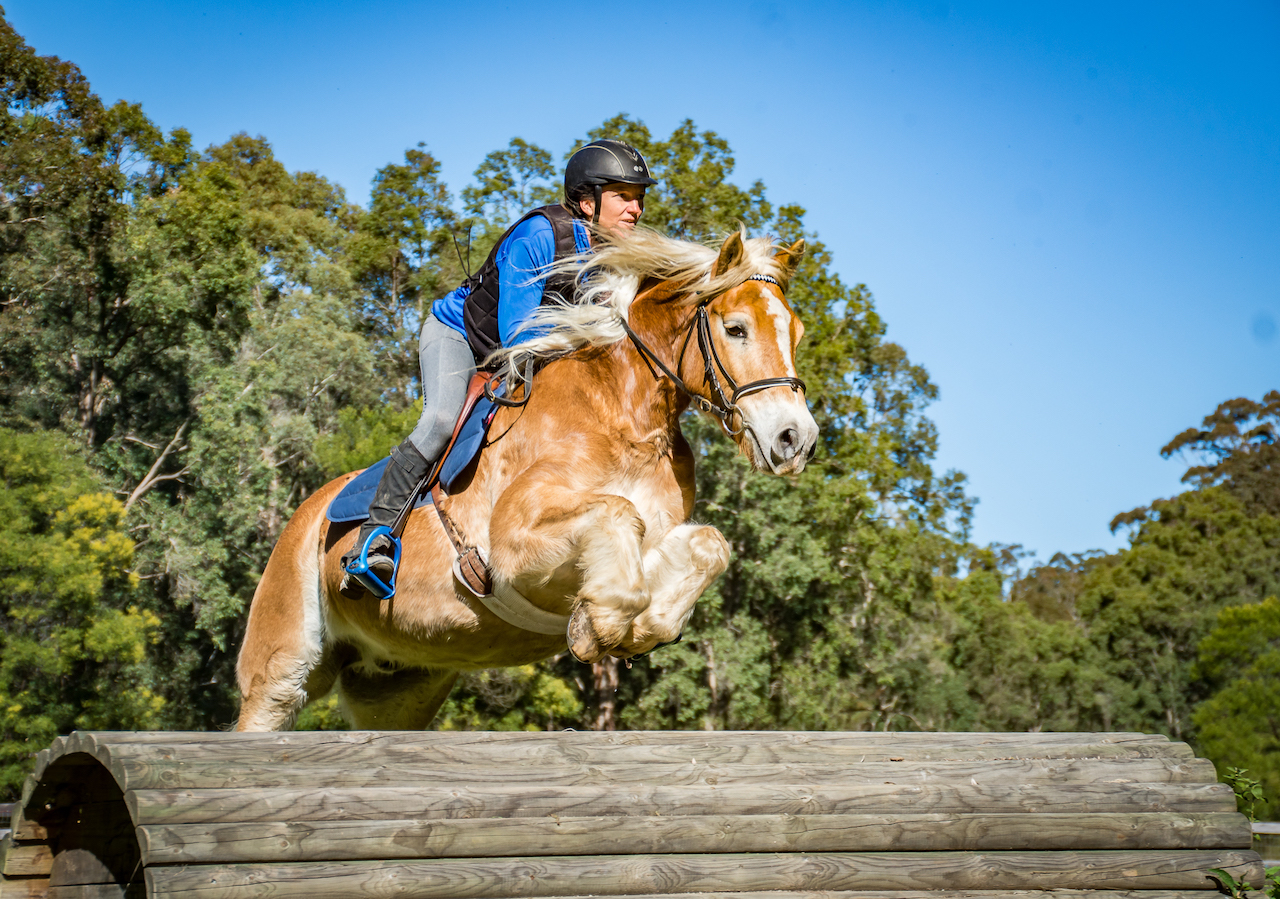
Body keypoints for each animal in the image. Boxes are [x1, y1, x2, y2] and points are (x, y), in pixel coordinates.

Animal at [238, 225, 819, 732]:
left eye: (795, 332)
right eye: (736, 328)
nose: (796, 439)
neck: (627, 417)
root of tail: (307, 515)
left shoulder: (662, 532)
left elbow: (707, 546)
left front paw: (636, 627)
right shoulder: (512, 541)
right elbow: (617, 514)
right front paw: (598, 627)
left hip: (399, 687)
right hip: (281, 668)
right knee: (266, 706)